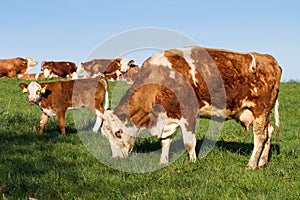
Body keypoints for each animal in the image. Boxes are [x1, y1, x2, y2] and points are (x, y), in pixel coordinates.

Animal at [98, 45, 282, 169]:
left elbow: (189, 143)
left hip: (260, 110)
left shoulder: (188, 113)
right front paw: (163, 161)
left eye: (118, 132)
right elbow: (165, 142)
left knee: (259, 136)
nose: (115, 159)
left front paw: (193, 162)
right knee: (269, 131)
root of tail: (268, 58)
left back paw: (251, 164)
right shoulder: (168, 117)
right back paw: (262, 162)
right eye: (105, 135)